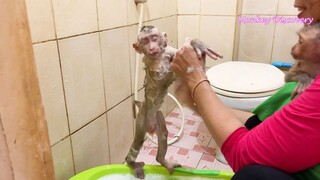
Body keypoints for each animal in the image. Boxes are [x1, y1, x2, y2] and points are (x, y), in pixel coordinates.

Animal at [125, 25, 222, 180]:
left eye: (154, 38)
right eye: (145, 41)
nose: (152, 47)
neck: (159, 55)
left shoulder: (169, 51)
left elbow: (176, 56)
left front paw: (195, 44)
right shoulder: (152, 61)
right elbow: (162, 75)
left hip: (157, 117)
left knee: (163, 134)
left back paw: (161, 160)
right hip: (142, 119)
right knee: (138, 141)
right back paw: (131, 163)